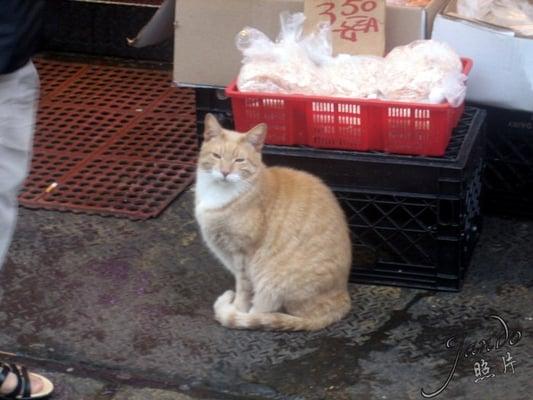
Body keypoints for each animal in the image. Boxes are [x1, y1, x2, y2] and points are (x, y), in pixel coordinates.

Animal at [193, 113, 352, 332]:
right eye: (217, 156)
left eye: (239, 160)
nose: (225, 172)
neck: (219, 193)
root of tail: (343, 299)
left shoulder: (242, 254)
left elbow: (242, 290)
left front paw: (236, 309)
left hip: (271, 282)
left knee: (260, 314)